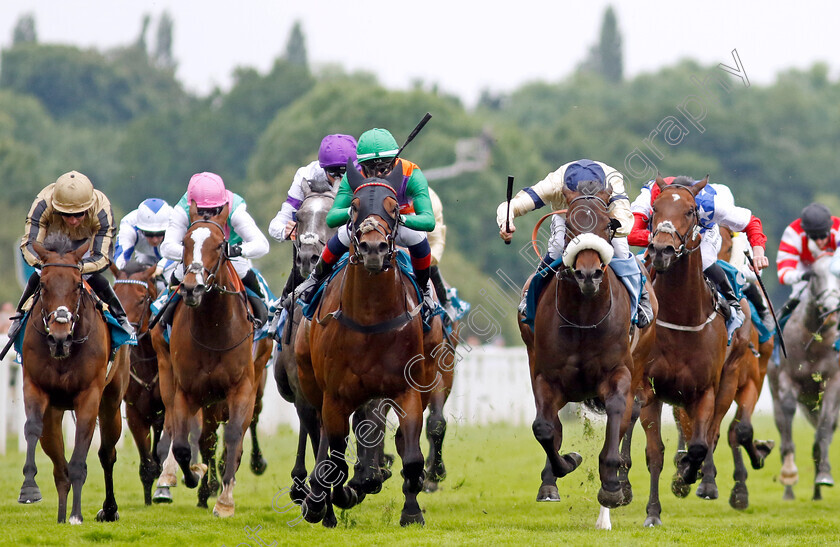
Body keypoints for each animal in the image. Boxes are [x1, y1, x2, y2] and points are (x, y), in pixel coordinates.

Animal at [18, 233, 128, 524]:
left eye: (78, 285)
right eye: (43, 285)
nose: (59, 336)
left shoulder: (89, 396)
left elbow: (81, 454)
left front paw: (77, 514)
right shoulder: (34, 387)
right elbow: (32, 429)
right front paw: (29, 488)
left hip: (112, 402)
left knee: (107, 453)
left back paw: (109, 509)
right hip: (54, 411)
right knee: (59, 466)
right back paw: (60, 515)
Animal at [161, 204, 258, 520]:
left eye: (219, 245)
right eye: (184, 243)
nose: (192, 288)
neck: (213, 328)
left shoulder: (243, 388)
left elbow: (233, 439)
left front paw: (225, 501)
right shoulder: (187, 391)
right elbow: (182, 446)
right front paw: (194, 473)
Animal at [294, 162, 440, 528]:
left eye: (393, 207)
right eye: (355, 206)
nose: (373, 247)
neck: (370, 319)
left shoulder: (406, 390)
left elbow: (411, 456)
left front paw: (411, 512)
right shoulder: (335, 395)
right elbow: (334, 458)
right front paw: (331, 497)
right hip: (312, 386)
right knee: (320, 436)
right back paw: (318, 497)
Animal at [520, 183, 660, 532]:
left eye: (608, 225)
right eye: (570, 224)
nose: (588, 274)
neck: (584, 318)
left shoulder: (619, 374)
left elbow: (617, 417)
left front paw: (611, 488)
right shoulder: (545, 376)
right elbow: (544, 428)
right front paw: (565, 464)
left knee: (626, 418)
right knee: (553, 425)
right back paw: (550, 482)